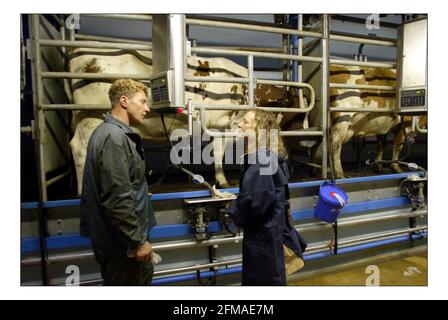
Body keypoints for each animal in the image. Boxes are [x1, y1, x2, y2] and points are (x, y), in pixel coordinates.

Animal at [65, 43, 294, 194]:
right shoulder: (227, 122)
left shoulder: (218, 126)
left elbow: (218, 153)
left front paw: (221, 180)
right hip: (91, 115)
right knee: (80, 147)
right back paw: (80, 191)